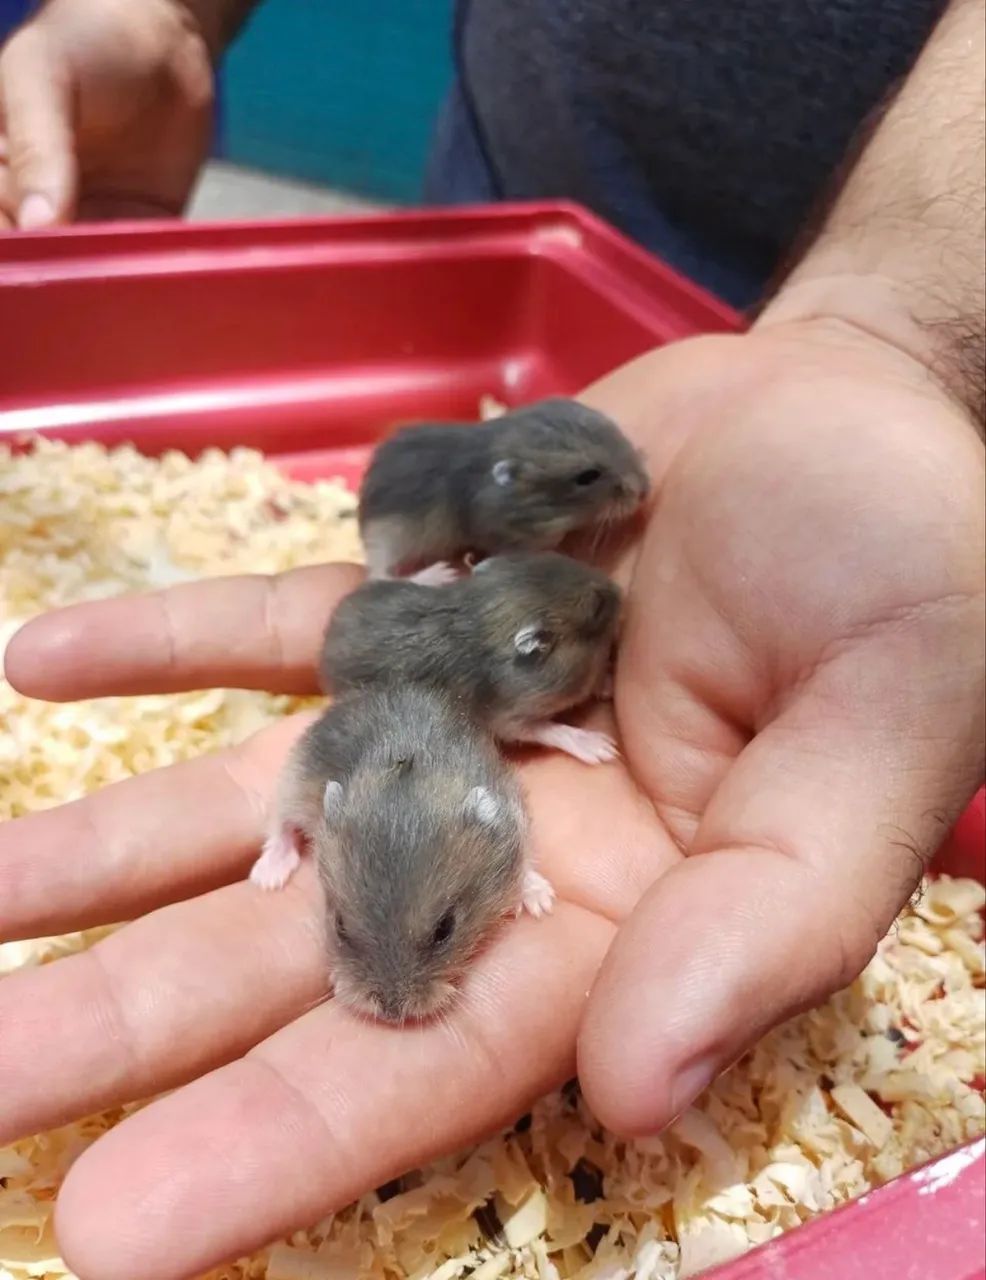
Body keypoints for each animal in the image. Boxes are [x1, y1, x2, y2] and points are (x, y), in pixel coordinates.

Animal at [248, 683, 555, 1023]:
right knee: (281, 824)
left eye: (445, 929)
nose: (391, 1013)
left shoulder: (514, 810)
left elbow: (525, 861)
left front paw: (542, 904)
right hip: (294, 779)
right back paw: (267, 878)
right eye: (340, 926)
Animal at [320, 552, 622, 765]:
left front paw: (607, 683)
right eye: (597, 607)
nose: (620, 592)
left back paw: (442, 572)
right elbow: (546, 729)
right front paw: (603, 748)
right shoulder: (510, 718)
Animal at [358, 398, 649, 580]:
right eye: (587, 477)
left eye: (615, 430)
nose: (645, 491)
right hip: (388, 538)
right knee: (380, 575)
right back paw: (441, 574)